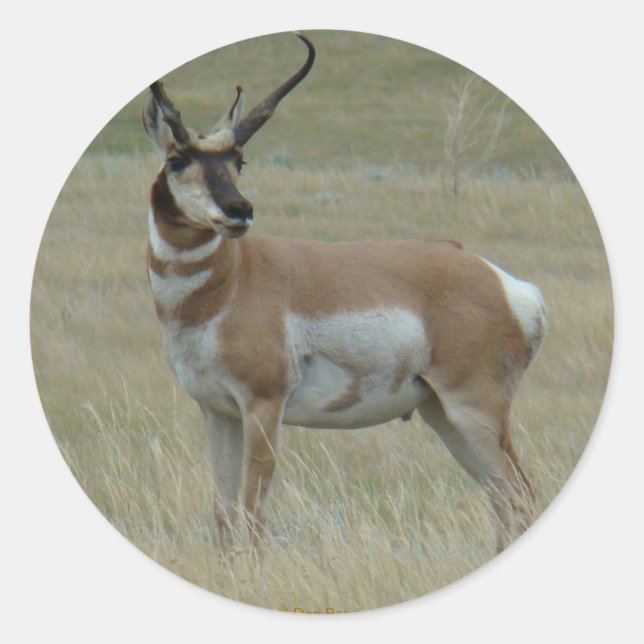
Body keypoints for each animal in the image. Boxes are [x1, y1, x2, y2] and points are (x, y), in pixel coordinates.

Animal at [143, 34, 546, 552]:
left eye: (238, 162)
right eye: (177, 159)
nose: (239, 210)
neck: (231, 283)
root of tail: (507, 284)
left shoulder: (262, 408)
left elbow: (252, 518)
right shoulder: (217, 412)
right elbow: (224, 518)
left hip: (474, 410)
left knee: (520, 497)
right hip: (443, 414)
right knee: (503, 502)